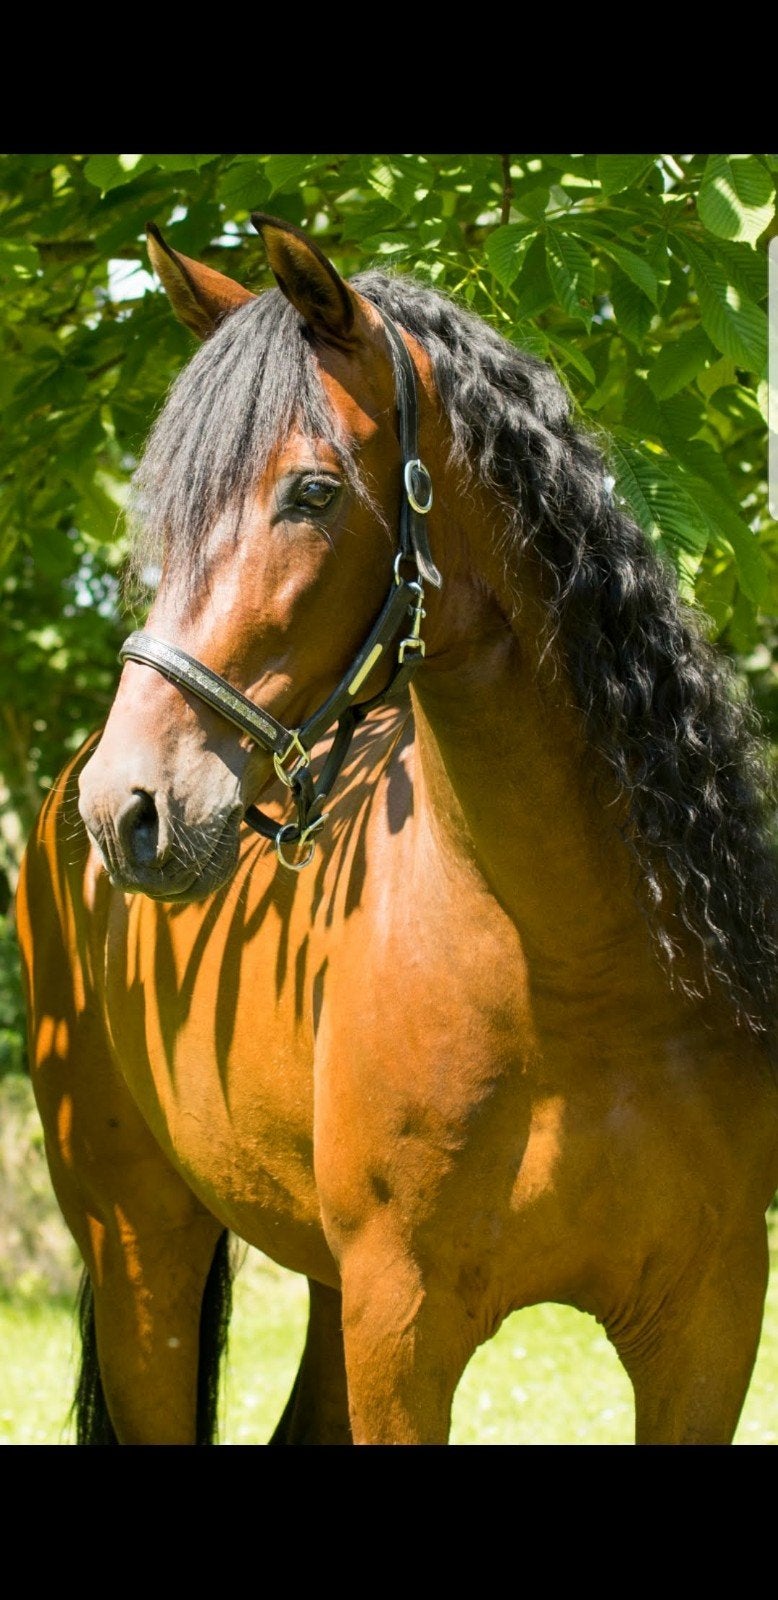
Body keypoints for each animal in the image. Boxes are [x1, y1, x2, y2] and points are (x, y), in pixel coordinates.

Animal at [16, 212, 778, 1445]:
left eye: (314, 491)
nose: (128, 808)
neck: (587, 975)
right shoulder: (402, 1331)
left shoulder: (708, 1327)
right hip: (142, 1247)